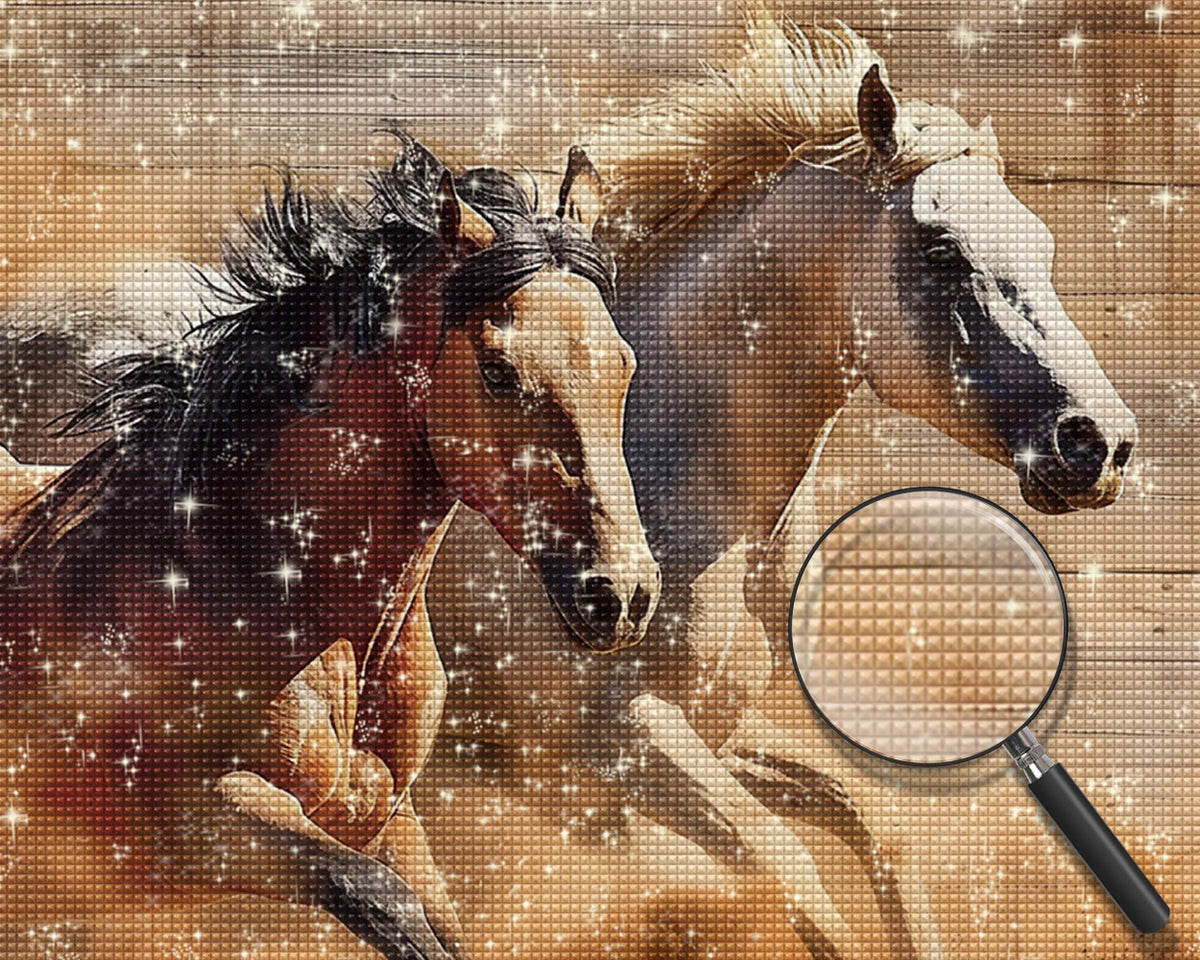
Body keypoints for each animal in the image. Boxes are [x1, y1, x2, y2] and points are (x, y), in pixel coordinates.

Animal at [0, 137, 660, 959]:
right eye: (498, 372)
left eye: (623, 363)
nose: (624, 595)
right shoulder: (193, 823)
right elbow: (383, 903)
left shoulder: (387, 818)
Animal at [412, 17, 1141, 960]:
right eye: (941, 249)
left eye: (1046, 248)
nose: (1102, 444)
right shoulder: (619, 744)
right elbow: (785, 863)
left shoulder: (720, 733)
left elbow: (872, 822)